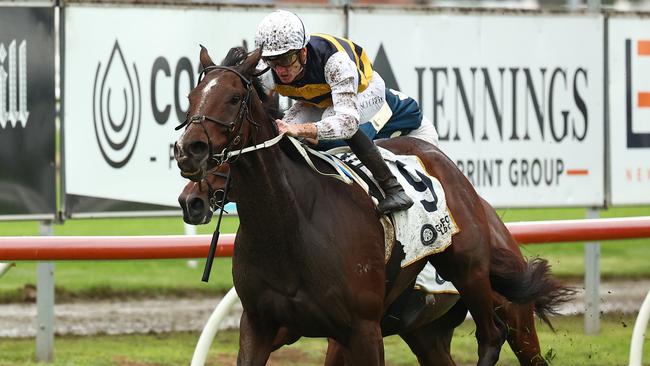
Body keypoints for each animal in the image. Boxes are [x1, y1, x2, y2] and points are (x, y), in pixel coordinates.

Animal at [173, 47, 572, 364]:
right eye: (191, 97)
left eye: (233, 98)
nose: (189, 152)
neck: (288, 226)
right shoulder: (260, 325)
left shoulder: (359, 329)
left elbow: (348, 122)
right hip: (427, 334)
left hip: (479, 280)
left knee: (494, 336)